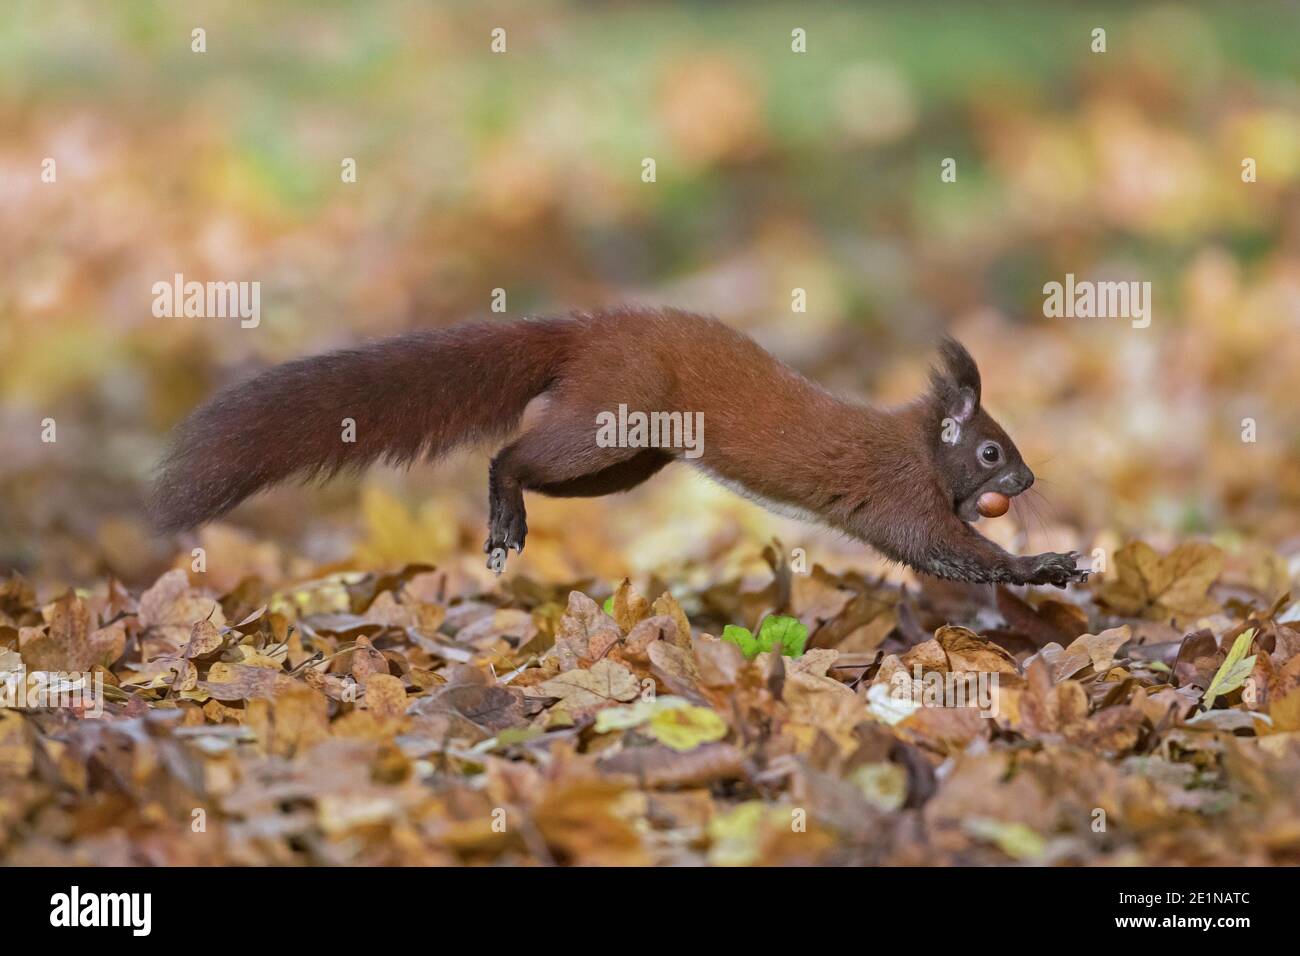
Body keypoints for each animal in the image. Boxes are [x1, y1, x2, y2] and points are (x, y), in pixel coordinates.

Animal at [152, 310, 1086, 587]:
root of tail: (589, 331)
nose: (1031, 477)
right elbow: (944, 550)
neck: (916, 443)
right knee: (512, 456)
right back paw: (503, 523)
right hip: (613, 416)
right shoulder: (898, 492)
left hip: (633, 457)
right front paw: (1050, 565)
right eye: (993, 452)